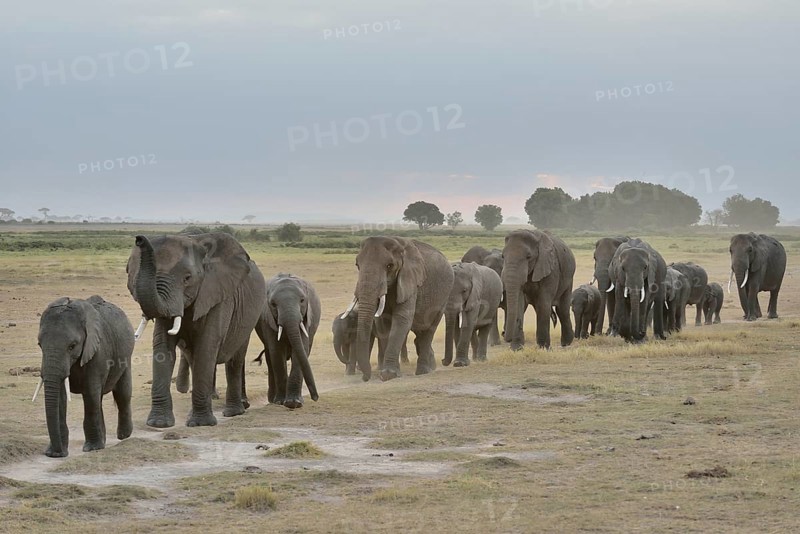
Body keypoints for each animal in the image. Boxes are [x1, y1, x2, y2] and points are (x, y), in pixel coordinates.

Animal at [36, 296, 134, 458]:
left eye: (72, 346)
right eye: (39, 345)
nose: (58, 452)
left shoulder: (98, 352)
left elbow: (90, 393)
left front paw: (92, 448)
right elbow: (60, 396)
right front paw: (55, 453)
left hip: (126, 356)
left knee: (122, 394)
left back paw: (124, 436)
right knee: (100, 400)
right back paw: (104, 440)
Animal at [126, 233, 266, 428]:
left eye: (187, 278)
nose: (139, 238)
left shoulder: (217, 295)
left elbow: (206, 345)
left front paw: (201, 423)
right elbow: (163, 347)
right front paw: (158, 423)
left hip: (248, 318)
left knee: (235, 360)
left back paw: (234, 412)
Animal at [254, 274, 319, 409]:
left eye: (302, 300)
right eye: (273, 304)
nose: (315, 397)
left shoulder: (306, 319)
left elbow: (301, 350)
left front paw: (294, 403)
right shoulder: (268, 322)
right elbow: (277, 353)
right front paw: (281, 402)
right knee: (270, 358)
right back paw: (272, 400)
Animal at [345, 236, 453, 381]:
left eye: (389, 266)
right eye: (357, 265)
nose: (364, 378)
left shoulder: (411, 282)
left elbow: (401, 319)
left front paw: (388, 374)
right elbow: (383, 323)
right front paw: (388, 373)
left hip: (444, 297)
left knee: (429, 329)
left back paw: (423, 371)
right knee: (420, 332)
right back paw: (431, 367)